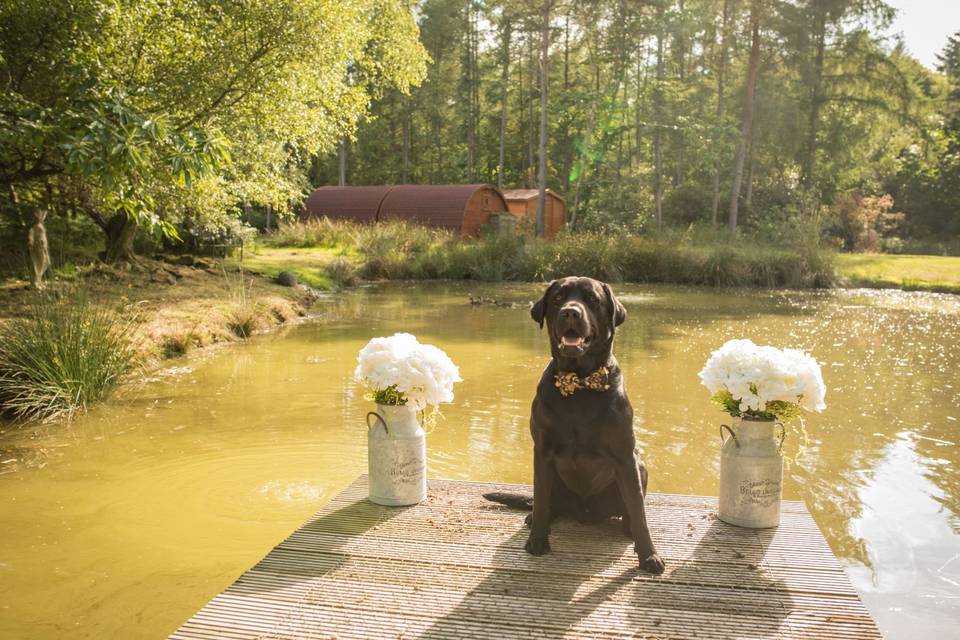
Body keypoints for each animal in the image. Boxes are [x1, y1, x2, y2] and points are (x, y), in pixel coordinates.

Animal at [484, 276, 664, 576]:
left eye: (592, 300)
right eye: (558, 298)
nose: (570, 312)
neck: (579, 383)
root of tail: (584, 513)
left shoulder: (625, 456)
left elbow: (639, 510)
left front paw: (649, 555)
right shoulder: (542, 452)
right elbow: (541, 498)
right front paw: (537, 540)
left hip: (640, 465)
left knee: (629, 509)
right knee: (545, 502)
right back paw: (536, 517)